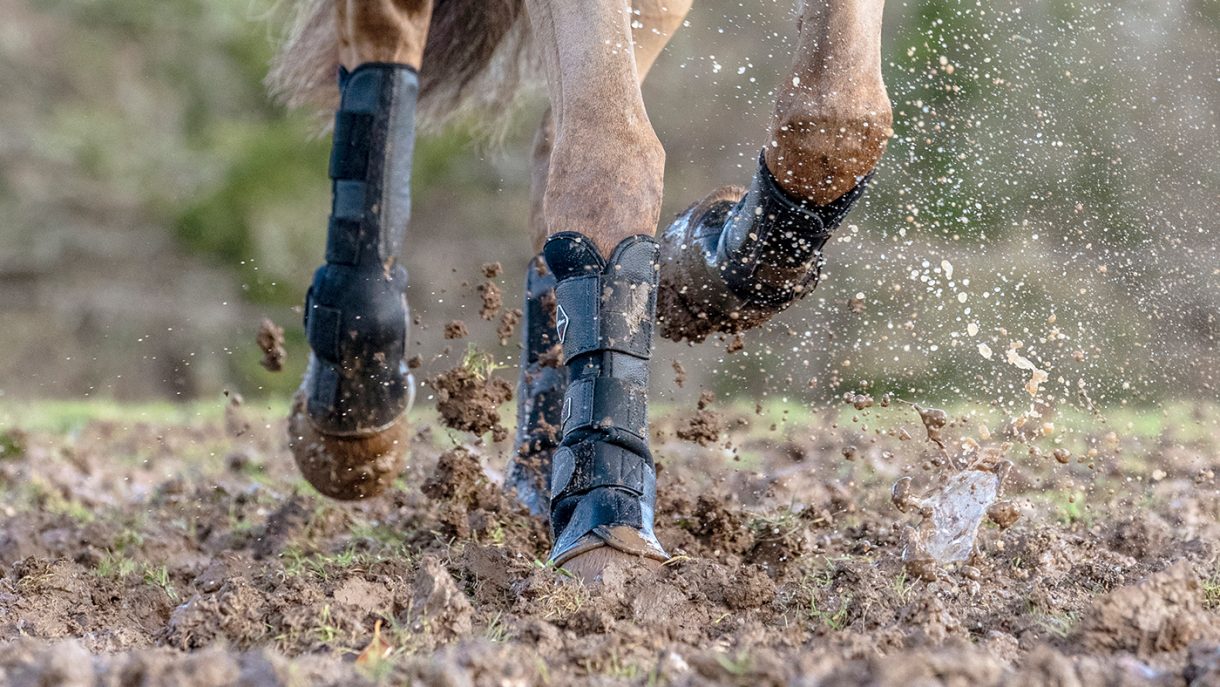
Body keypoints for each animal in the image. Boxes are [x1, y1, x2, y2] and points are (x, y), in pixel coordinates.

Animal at [267, 0, 892, 583]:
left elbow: (838, 118)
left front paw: (699, 265)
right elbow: (612, 153)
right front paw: (606, 531)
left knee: (546, 157)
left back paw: (534, 479)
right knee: (385, 51)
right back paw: (353, 399)